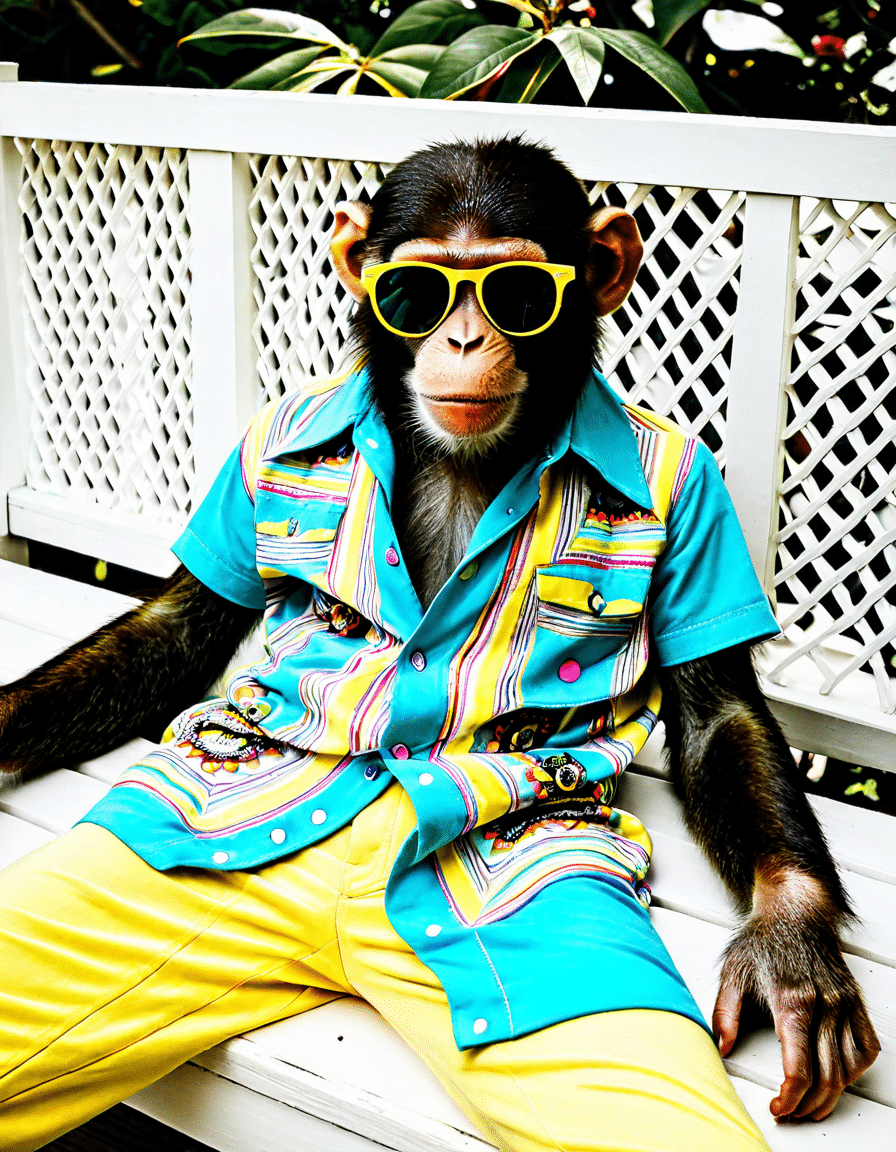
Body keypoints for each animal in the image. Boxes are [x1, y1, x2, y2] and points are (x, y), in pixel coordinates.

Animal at [0, 137, 879, 1149]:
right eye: (416, 290)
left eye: (517, 294)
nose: (462, 339)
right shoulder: (260, 441)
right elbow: (182, 624)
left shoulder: (699, 494)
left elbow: (718, 715)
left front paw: (792, 939)